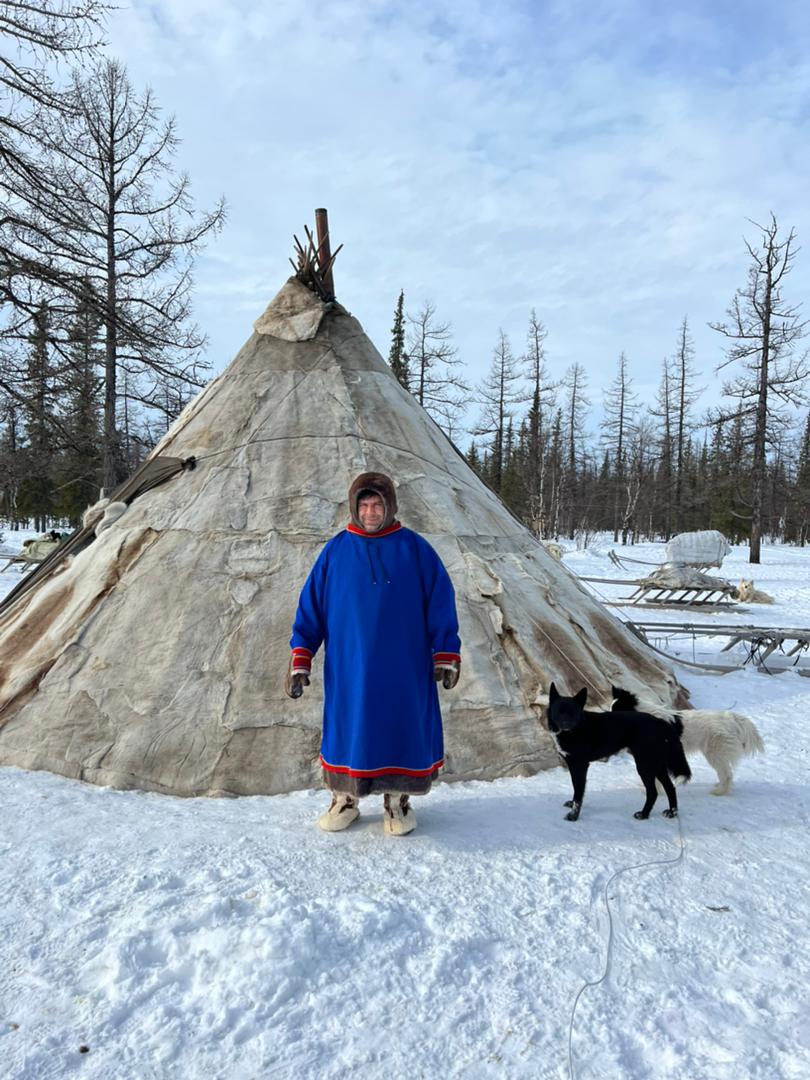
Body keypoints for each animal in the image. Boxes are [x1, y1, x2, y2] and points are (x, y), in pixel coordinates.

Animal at [546, 682, 691, 816]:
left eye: (574, 712)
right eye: (559, 711)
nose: (566, 724)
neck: (577, 729)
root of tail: (660, 722)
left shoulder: (580, 765)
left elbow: (579, 791)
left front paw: (573, 816)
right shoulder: (571, 764)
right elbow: (575, 786)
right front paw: (571, 804)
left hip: (645, 766)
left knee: (653, 792)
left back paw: (643, 815)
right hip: (656, 765)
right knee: (670, 787)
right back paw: (672, 812)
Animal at [613, 686, 768, 799]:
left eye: (616, 710)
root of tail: (731, 718)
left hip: (715, 753)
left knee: (727, 774)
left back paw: (719, 793)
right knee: (725, 773)